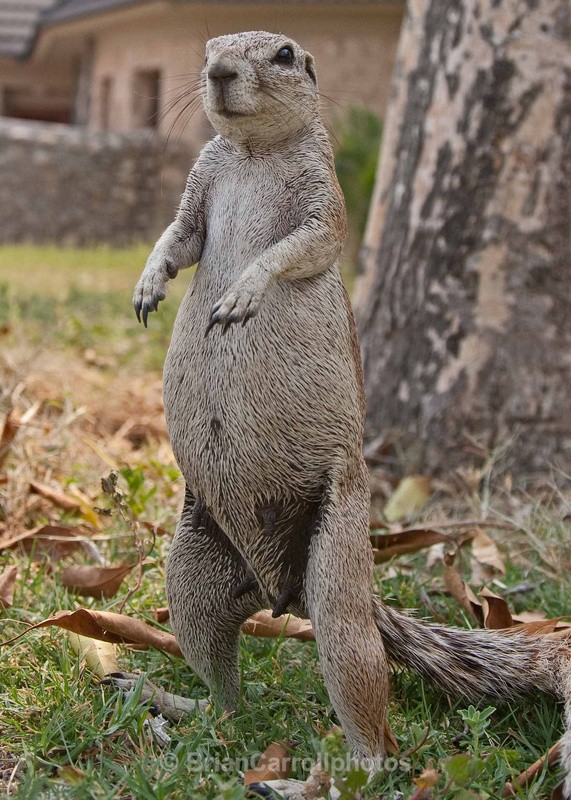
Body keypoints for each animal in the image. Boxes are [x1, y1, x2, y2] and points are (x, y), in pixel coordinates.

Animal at [133, 31, 571, 797]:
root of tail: (282, 592)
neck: (253, 151)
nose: (218, 73)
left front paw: (244, 293)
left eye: (283, 53)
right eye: (210, 45)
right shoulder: (198, 190)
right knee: (229, 699)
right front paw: (149, 283)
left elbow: (302, 244)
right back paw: (176, 704)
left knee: (373, 734)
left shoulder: (323, 201)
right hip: (189, 581)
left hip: (338, 587)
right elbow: (177, 237)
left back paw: (316, 776)